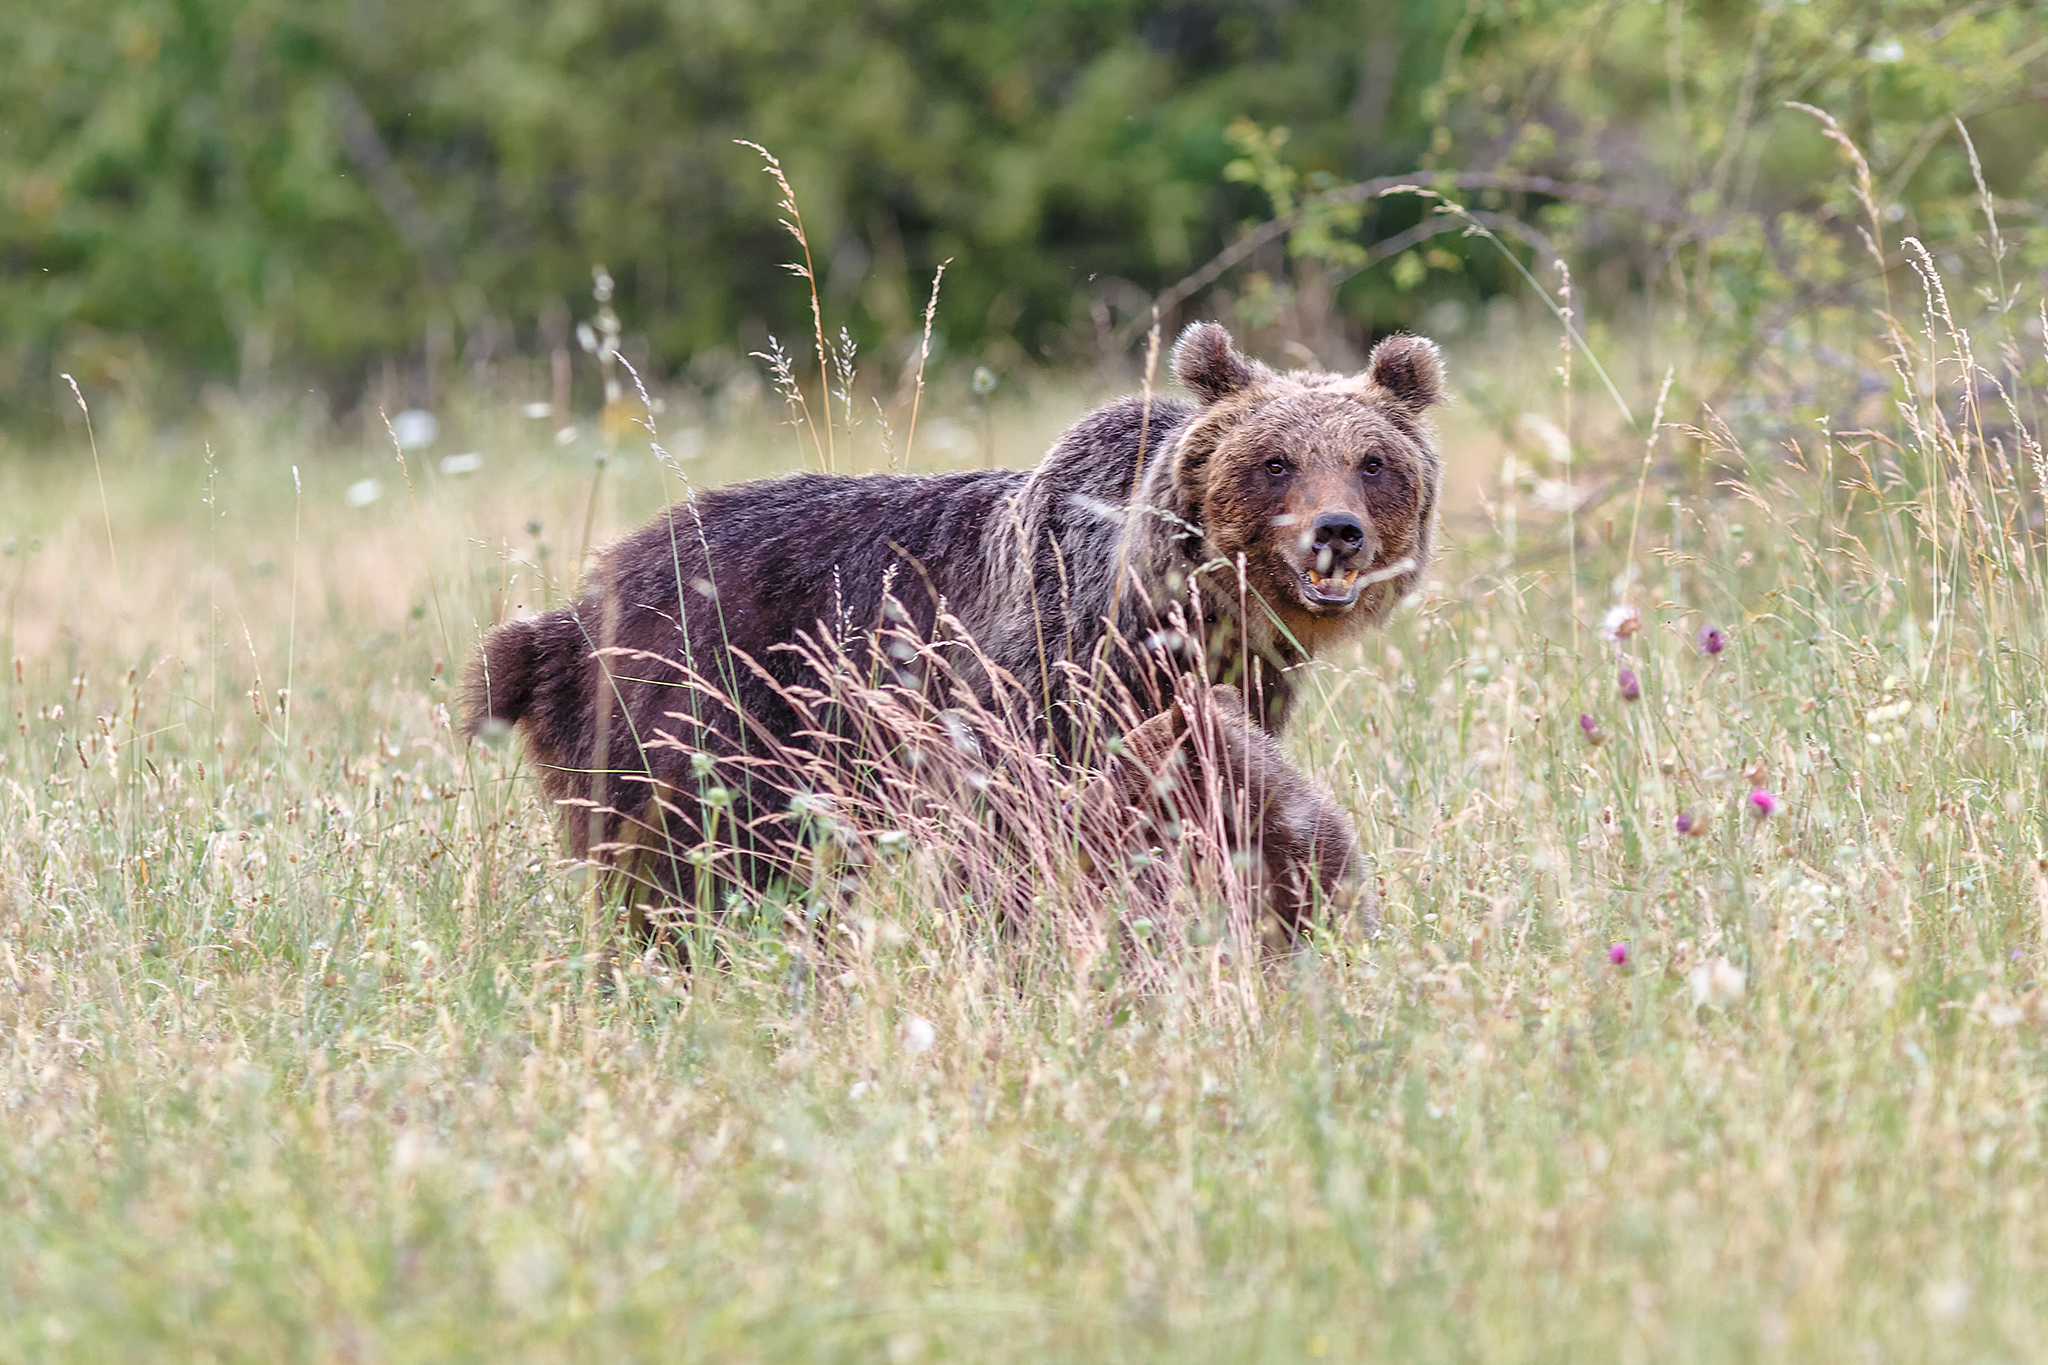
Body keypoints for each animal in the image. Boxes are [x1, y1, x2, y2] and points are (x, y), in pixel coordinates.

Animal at [463, 320, 1442, 932]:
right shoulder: (1048, 677)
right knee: (701, 862)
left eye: (1373, 461)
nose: (1337, 532)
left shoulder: (1237, 687)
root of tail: (575, 609)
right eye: (1276, 461)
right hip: (710, 708)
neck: (1178, 604)